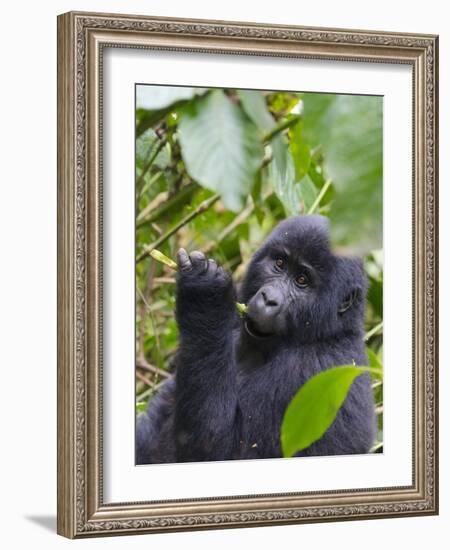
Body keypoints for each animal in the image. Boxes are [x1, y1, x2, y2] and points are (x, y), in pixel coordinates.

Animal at [137, 216, 376, 466]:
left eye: (302, 280)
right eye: (279, 264)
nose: (269, 299)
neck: (329, 331)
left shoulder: (312, 370)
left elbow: (217, 450)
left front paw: (204, 295)